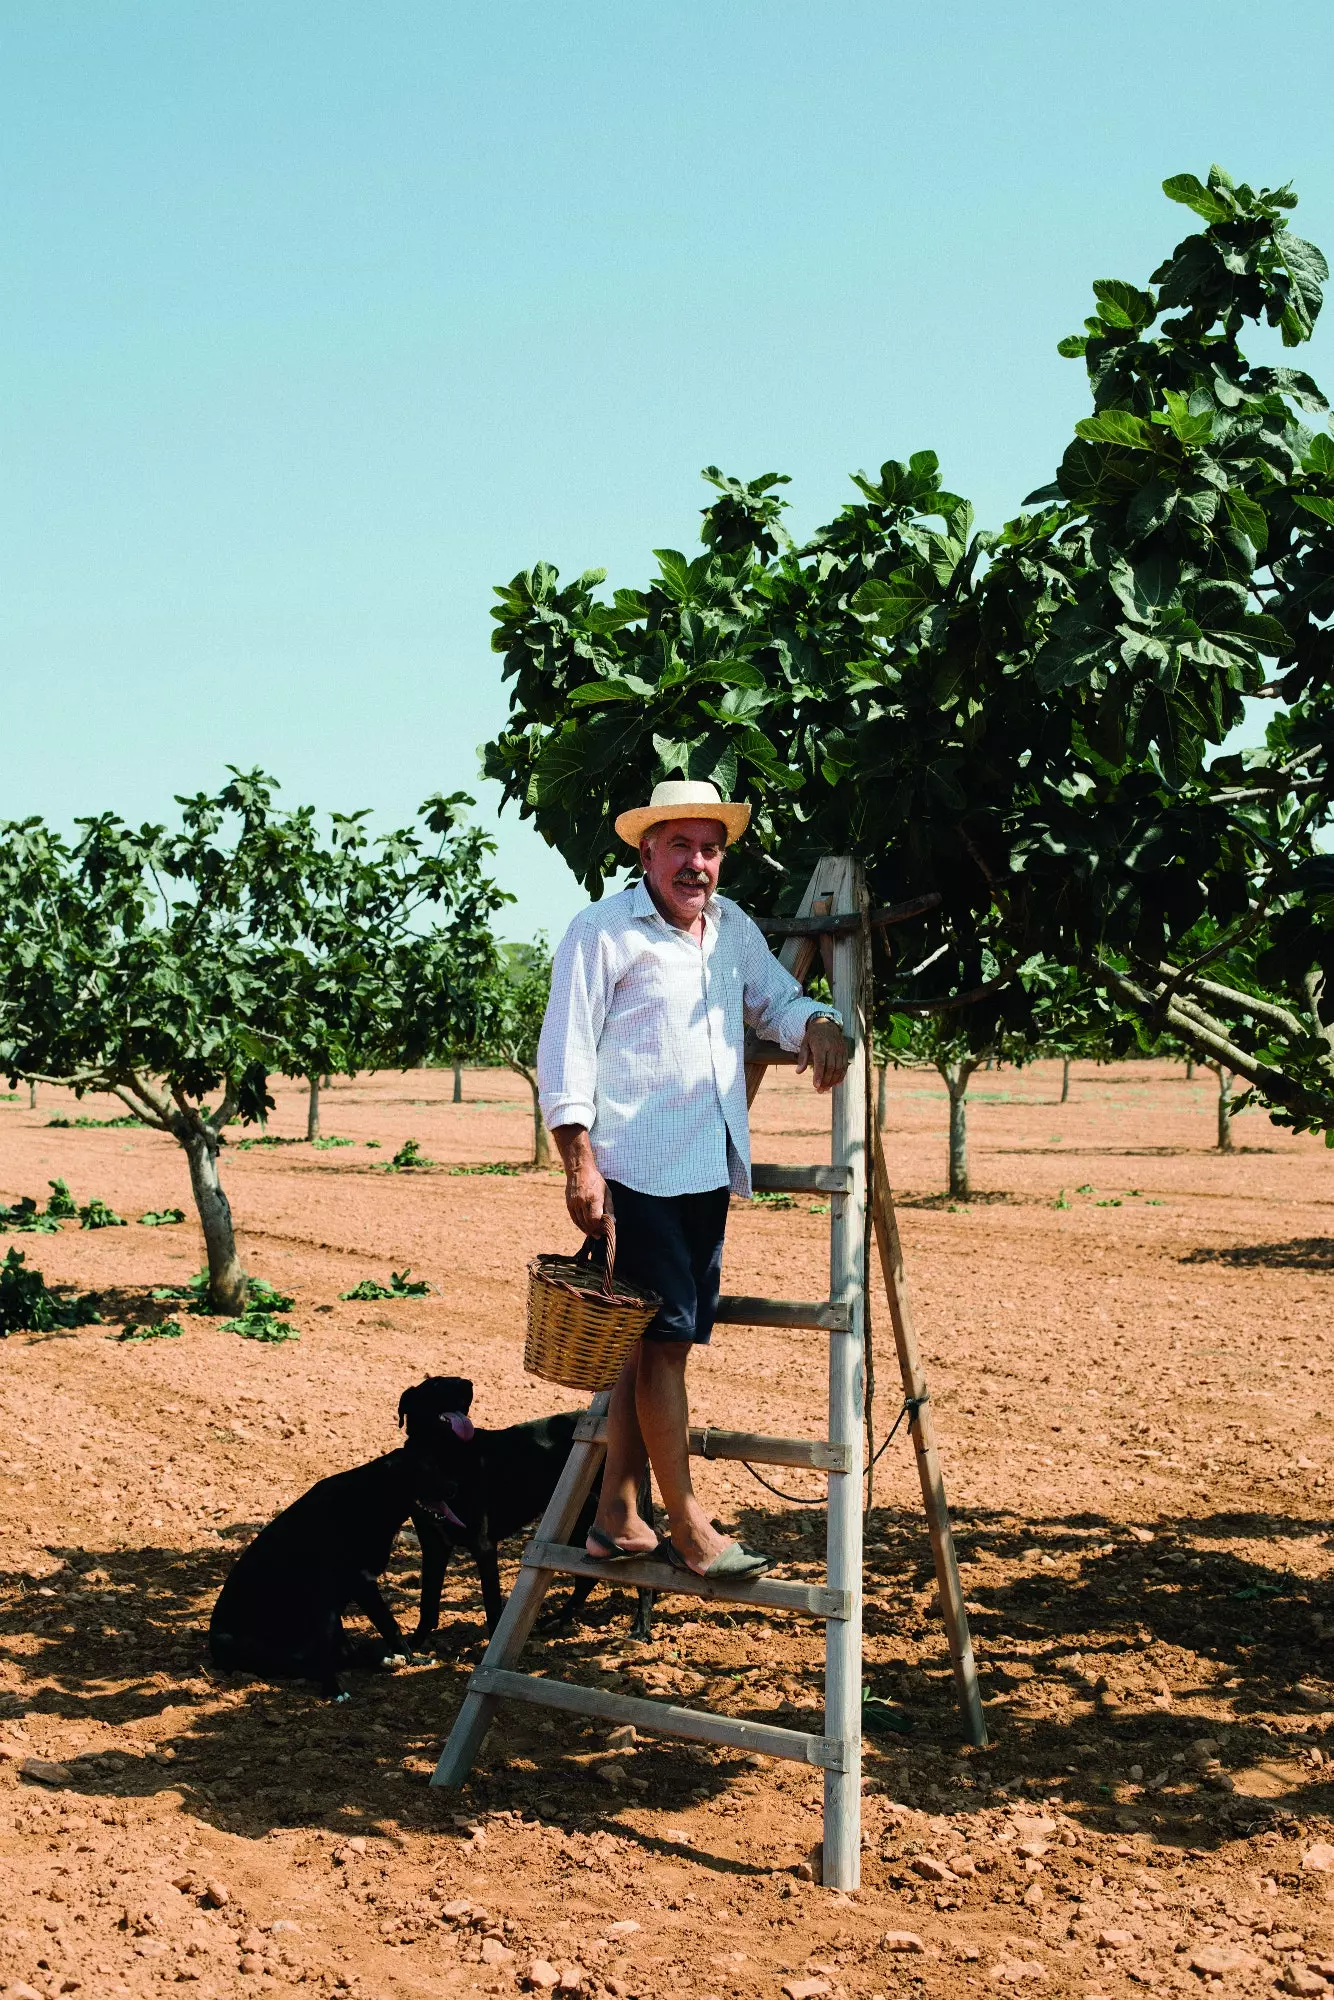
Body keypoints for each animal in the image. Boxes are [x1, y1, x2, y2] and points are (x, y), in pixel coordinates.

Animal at [210, 1384, 474, 1696]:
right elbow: (389, 1626)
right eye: (423, 1472)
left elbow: (388, 1629)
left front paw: (409, 1658)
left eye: (437, 1466)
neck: (371, 1497)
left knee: (341, 1654)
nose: (455, 1488)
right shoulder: (359, 1584)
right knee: (308, 1662)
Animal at [394, 1376, 656, 1640]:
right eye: (435, 1384)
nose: (468, 1384)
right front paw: (416, 1642)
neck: (444, 1456)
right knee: (585, 1580)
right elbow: (427, 1601)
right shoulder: (433, 1547)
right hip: (579, 1522)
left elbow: (491, 1602)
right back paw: (557, 1619)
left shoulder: (483, 1546)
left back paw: (640, 1628)